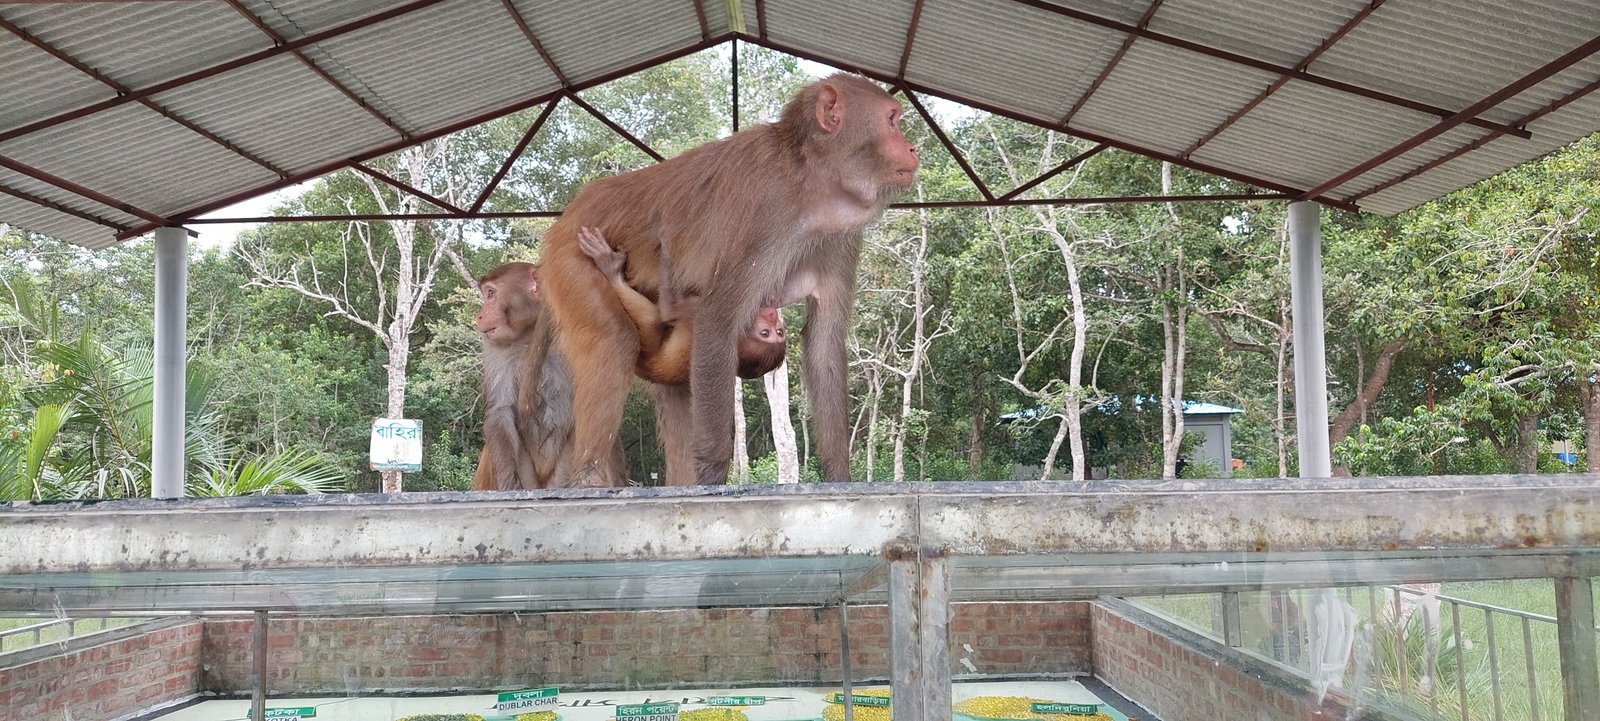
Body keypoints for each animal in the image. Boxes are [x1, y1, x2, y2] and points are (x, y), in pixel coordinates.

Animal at [576, 225, 788, 385]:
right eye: (773, 332)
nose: (772, 317)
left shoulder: (697, 311)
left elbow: (669, 310)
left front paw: (667, 243)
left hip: (646, 352)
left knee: (652, 318)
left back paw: (611, 270)